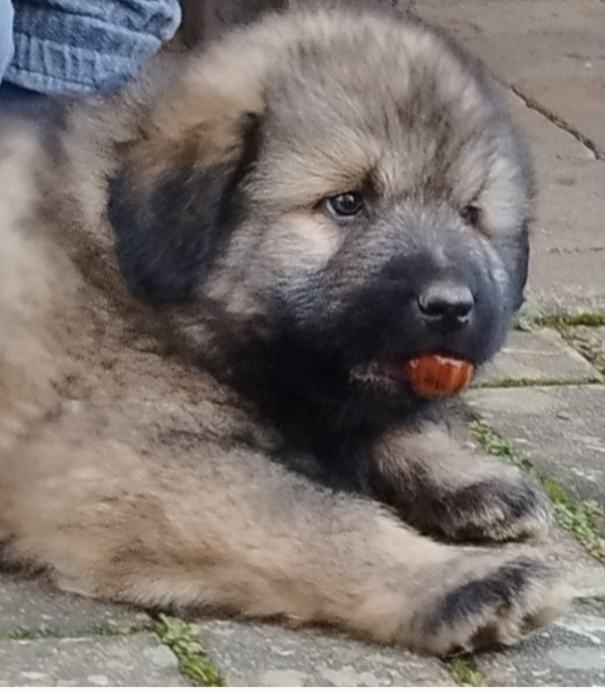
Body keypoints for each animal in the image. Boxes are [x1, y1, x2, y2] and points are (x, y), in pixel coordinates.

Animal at [0, 0, 568, 656]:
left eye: (471, 214)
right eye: (346, 203)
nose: (451, 307)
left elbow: (370, 424)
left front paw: (469, 478)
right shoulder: (125, 465)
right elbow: (326, 520)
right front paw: (463, 581)